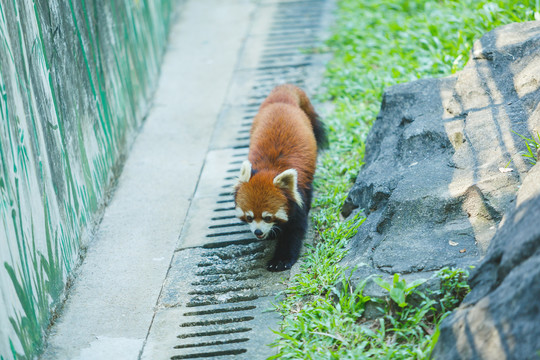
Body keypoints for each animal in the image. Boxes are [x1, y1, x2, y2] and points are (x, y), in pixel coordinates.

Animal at [232, 83, 324, 270]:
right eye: (249, 217)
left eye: (268, 217)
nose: (258, 232)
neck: (269, 169)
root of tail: (283, 96)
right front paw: (272, 234)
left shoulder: (298, 197)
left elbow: (294, 231)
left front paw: (281, 260)